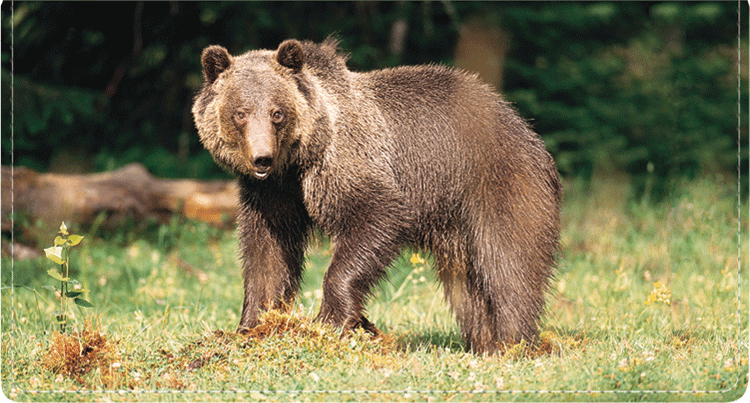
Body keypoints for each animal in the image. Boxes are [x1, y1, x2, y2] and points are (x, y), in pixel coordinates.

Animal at [194, 37, 564, 354]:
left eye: (277, 113)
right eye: (240, 112)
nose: (262, 158)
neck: (297, 163)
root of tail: (525, 127)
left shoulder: (346, 163)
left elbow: (375, 216)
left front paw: (331, 320)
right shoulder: (272, 195)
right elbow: (267, 253)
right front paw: (253, 324)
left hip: (498, 182)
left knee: (508, 263)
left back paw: (514, 341)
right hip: (455, 221)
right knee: (466, 287)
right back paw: (484, 343)